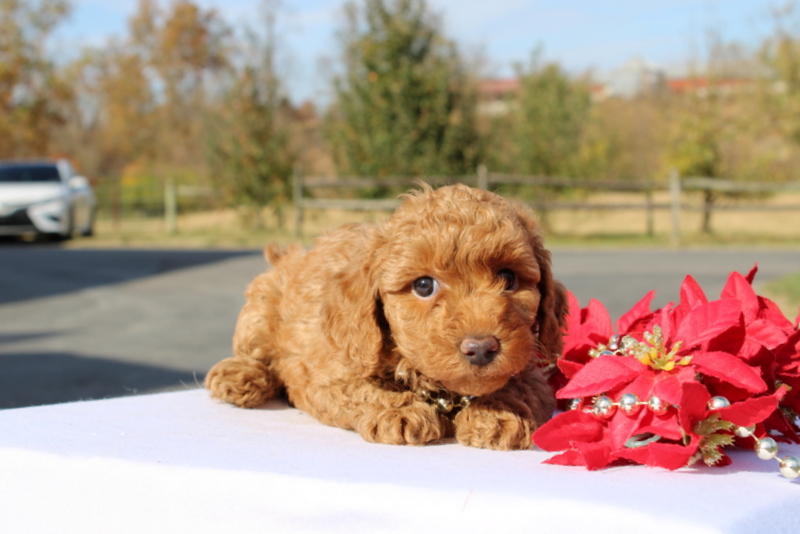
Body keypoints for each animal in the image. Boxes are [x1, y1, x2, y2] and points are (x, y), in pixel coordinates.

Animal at [206, 182, 568, 450]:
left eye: (508, 278)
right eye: (423, 285)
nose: (481, 348)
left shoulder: (535, 374)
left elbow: (523, 387)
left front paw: (498, 412)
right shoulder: (329, 371)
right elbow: (360, 388)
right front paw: (399, 410)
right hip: (263, 299)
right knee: (254, 351)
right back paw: (240, 376)